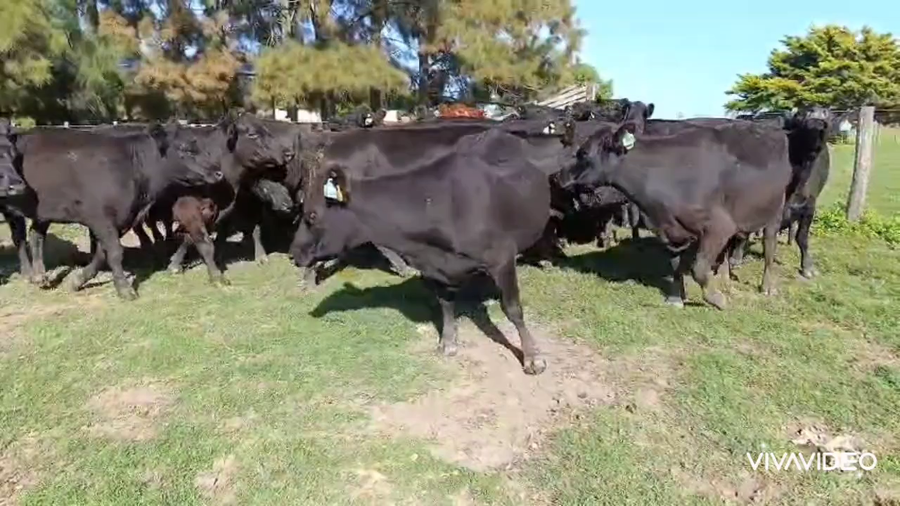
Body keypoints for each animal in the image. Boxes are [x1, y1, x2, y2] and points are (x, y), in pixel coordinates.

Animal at [291, 128, 551, 375]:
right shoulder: (436, 267)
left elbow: (513, 308)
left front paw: (533, 357)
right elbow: (446, 303)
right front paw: (448, 343)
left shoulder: (501, 257)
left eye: (312, 215)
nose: (293, 253)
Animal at [554, 121, 792, 310]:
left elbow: (699, 269)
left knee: (769, 247)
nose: (557, 176)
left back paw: (767, 286)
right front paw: (676, 298)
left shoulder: (718, 226)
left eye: (584, 153)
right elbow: (675, 264)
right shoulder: (671, 230)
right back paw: (724, 278)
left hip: (775, 210)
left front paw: (717, 300)